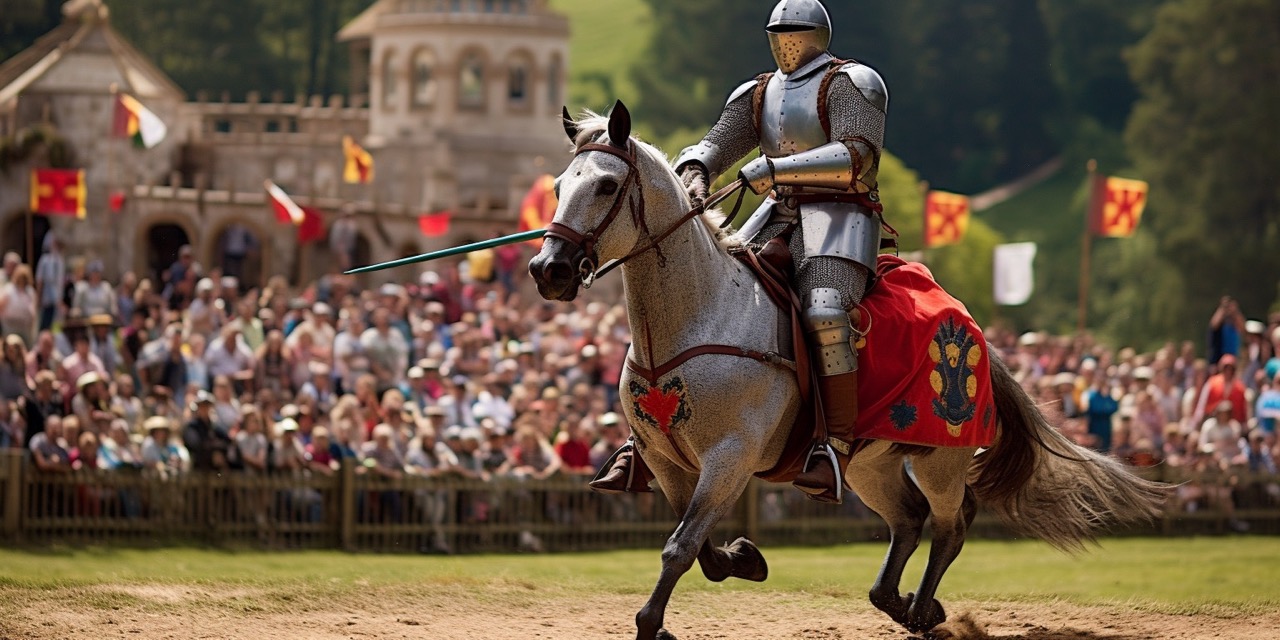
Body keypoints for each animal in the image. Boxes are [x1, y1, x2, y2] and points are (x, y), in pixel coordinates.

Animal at [527, 102, 1172, 637]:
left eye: (607, 184)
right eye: (558, 186)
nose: (547, 269)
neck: (700, 313)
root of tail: (976, 333)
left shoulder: (729, 459)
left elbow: (681, 547)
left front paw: (652, 622)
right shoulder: (665, 461)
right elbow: (701, 550)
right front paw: (744, 560)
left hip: (941, 458)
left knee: (951, 523)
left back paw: (921, 611)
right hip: (871, 464)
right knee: (909, 519)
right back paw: (897, 601)